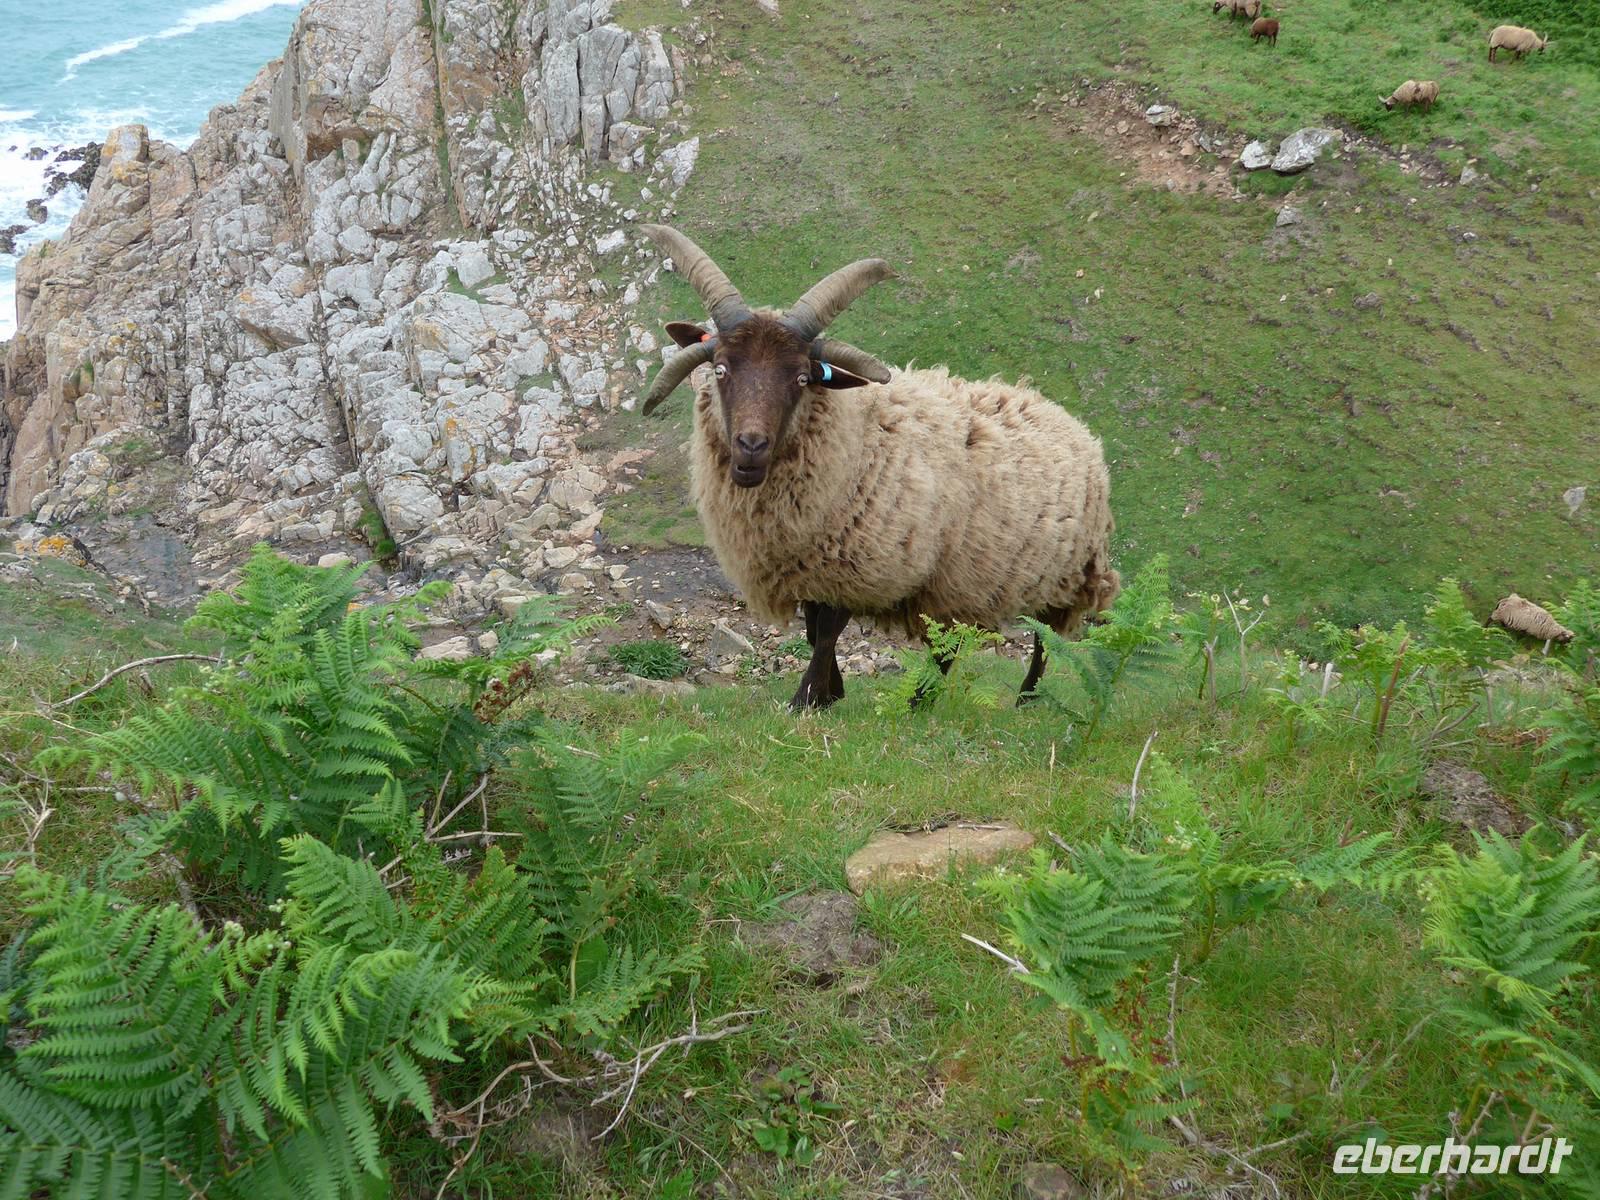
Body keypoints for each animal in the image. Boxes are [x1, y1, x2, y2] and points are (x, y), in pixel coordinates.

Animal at [636, 225, 1121, 711]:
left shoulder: (858, 560)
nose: (751, 447)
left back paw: (1022, 697)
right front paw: (830, 693)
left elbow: (827, 632)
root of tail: (1069, 421)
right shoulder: (812, 562)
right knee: (950, 644)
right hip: (962, 580)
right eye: (720, 369)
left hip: (1059, 574)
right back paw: (923, 700)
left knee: (1042, 639)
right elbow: (814, 631)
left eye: (801, 378)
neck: (856, 437)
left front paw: (806, 699)